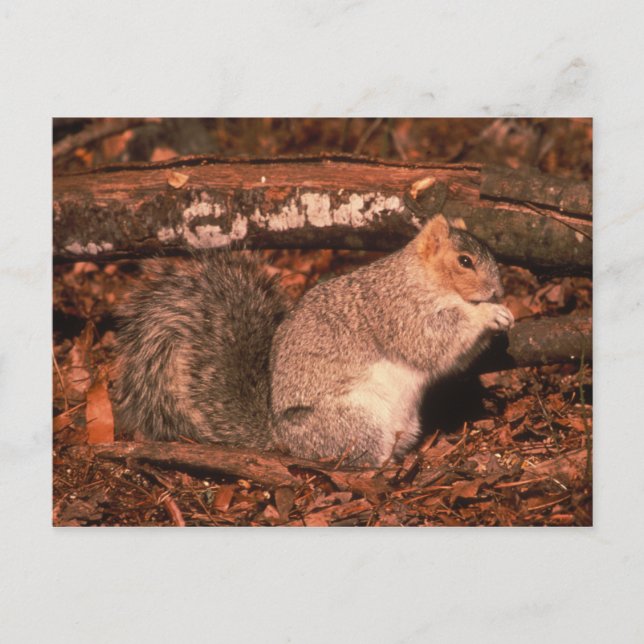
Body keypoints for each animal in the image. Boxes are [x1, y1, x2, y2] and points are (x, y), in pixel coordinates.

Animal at [113, 213, 513, 467]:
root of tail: (281, 438)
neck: (423, 278)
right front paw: (487, 314)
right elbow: (431, 342)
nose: (498, 289)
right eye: (465, 261)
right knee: (360, 456)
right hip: (354, 422)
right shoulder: (396, 312)